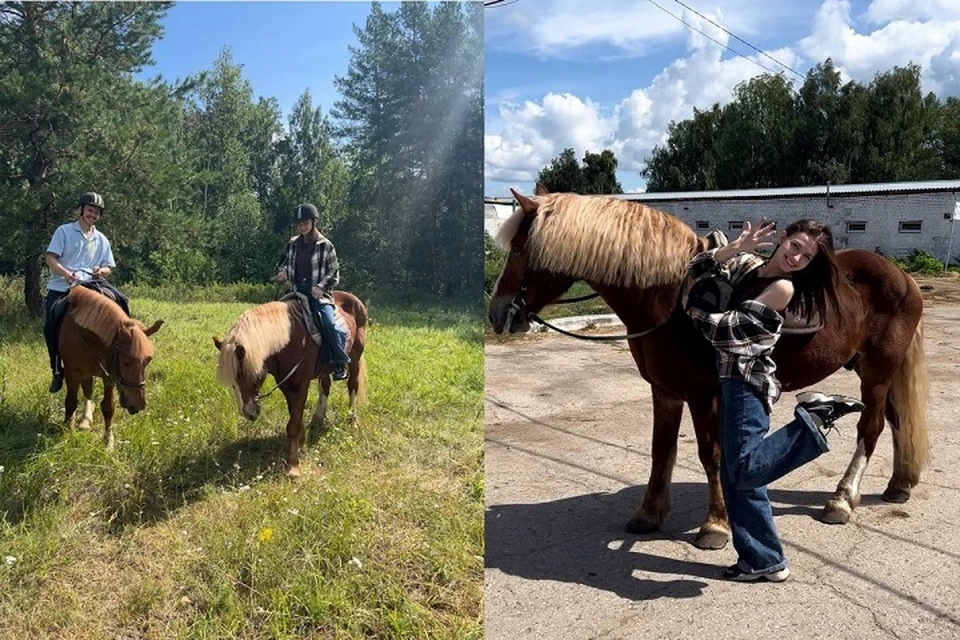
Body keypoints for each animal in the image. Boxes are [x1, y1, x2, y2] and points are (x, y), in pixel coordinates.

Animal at [58, 288, 164, 448]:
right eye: (126, 362)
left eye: (148, 361)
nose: (138, 405)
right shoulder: (71, 372)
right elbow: (70, 402)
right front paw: (68, 431)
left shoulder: (109, 376)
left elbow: (108, 407)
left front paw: (108, 441)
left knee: (88, 390)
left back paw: (86, 418)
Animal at [214, 290, 368, 476]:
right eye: (233, 382)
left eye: (247, 376)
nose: (249, 413)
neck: (288, 340)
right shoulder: (285, 384)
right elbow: (295, 414)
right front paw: (301, 441)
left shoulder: (301, 384)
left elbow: (293, 423)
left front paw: (293, 466)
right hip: (325, 368)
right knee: (325, 386)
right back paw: (318, 418)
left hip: (354, 360)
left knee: (352, 386)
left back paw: (352, 420)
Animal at [492, 186, 928, 552]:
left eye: (519, 247)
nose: (497, 313)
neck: (670, 300)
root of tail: (903, 277)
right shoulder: (665, 391)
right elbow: (661, 449)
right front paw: (648, 514)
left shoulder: (703, 396)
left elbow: (710, 455)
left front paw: (715, 525)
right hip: (873, 372)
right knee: (896, 421)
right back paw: (897, 484)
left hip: (877, 372)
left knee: (870, 426)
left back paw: (841, 499)